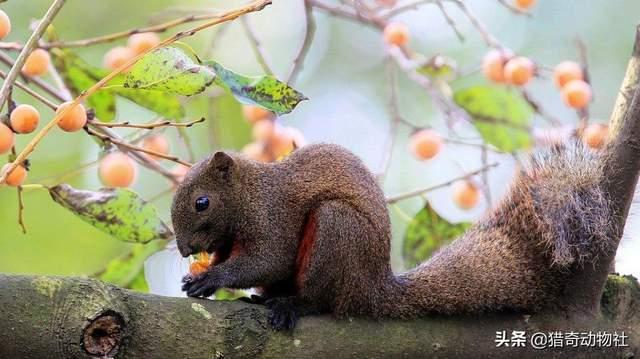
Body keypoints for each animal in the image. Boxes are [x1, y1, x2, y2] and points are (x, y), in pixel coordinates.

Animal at [171, 141, 616, 332]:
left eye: (201, 202)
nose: (185, 249)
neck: (249, 193)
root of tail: (374, 288)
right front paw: (199, 276)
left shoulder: (273, 217)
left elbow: (268, 259)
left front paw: (209, 279)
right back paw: (263, 298)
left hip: (336, 231)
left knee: (322, 299)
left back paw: (292, 304)